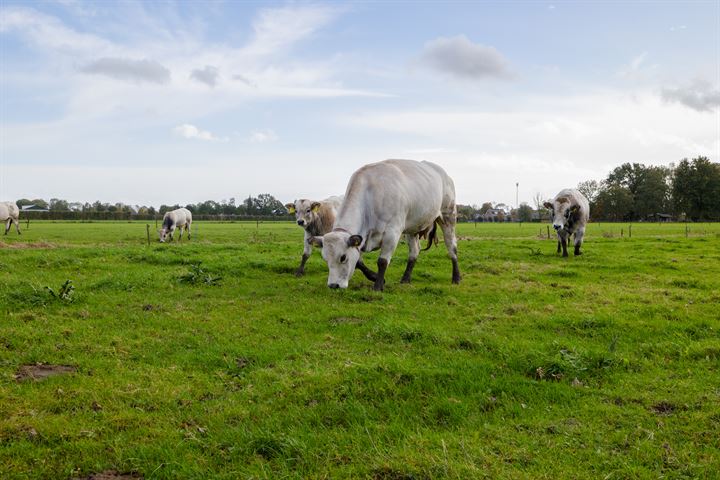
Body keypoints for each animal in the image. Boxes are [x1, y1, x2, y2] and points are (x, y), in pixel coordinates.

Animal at [310, 159, 462, 290]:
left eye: (343, 257)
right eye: (325, 258)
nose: (333, 285)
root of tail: (443, 173)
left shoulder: (392, 233)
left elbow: (382, 261)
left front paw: (377, 286)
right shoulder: (362, 240)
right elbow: (359, 262)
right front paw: (375, 277)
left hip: (448, 216)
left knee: (451, 246)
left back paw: (456, 278)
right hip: (412, 227)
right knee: (414, 251)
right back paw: (406, 278)